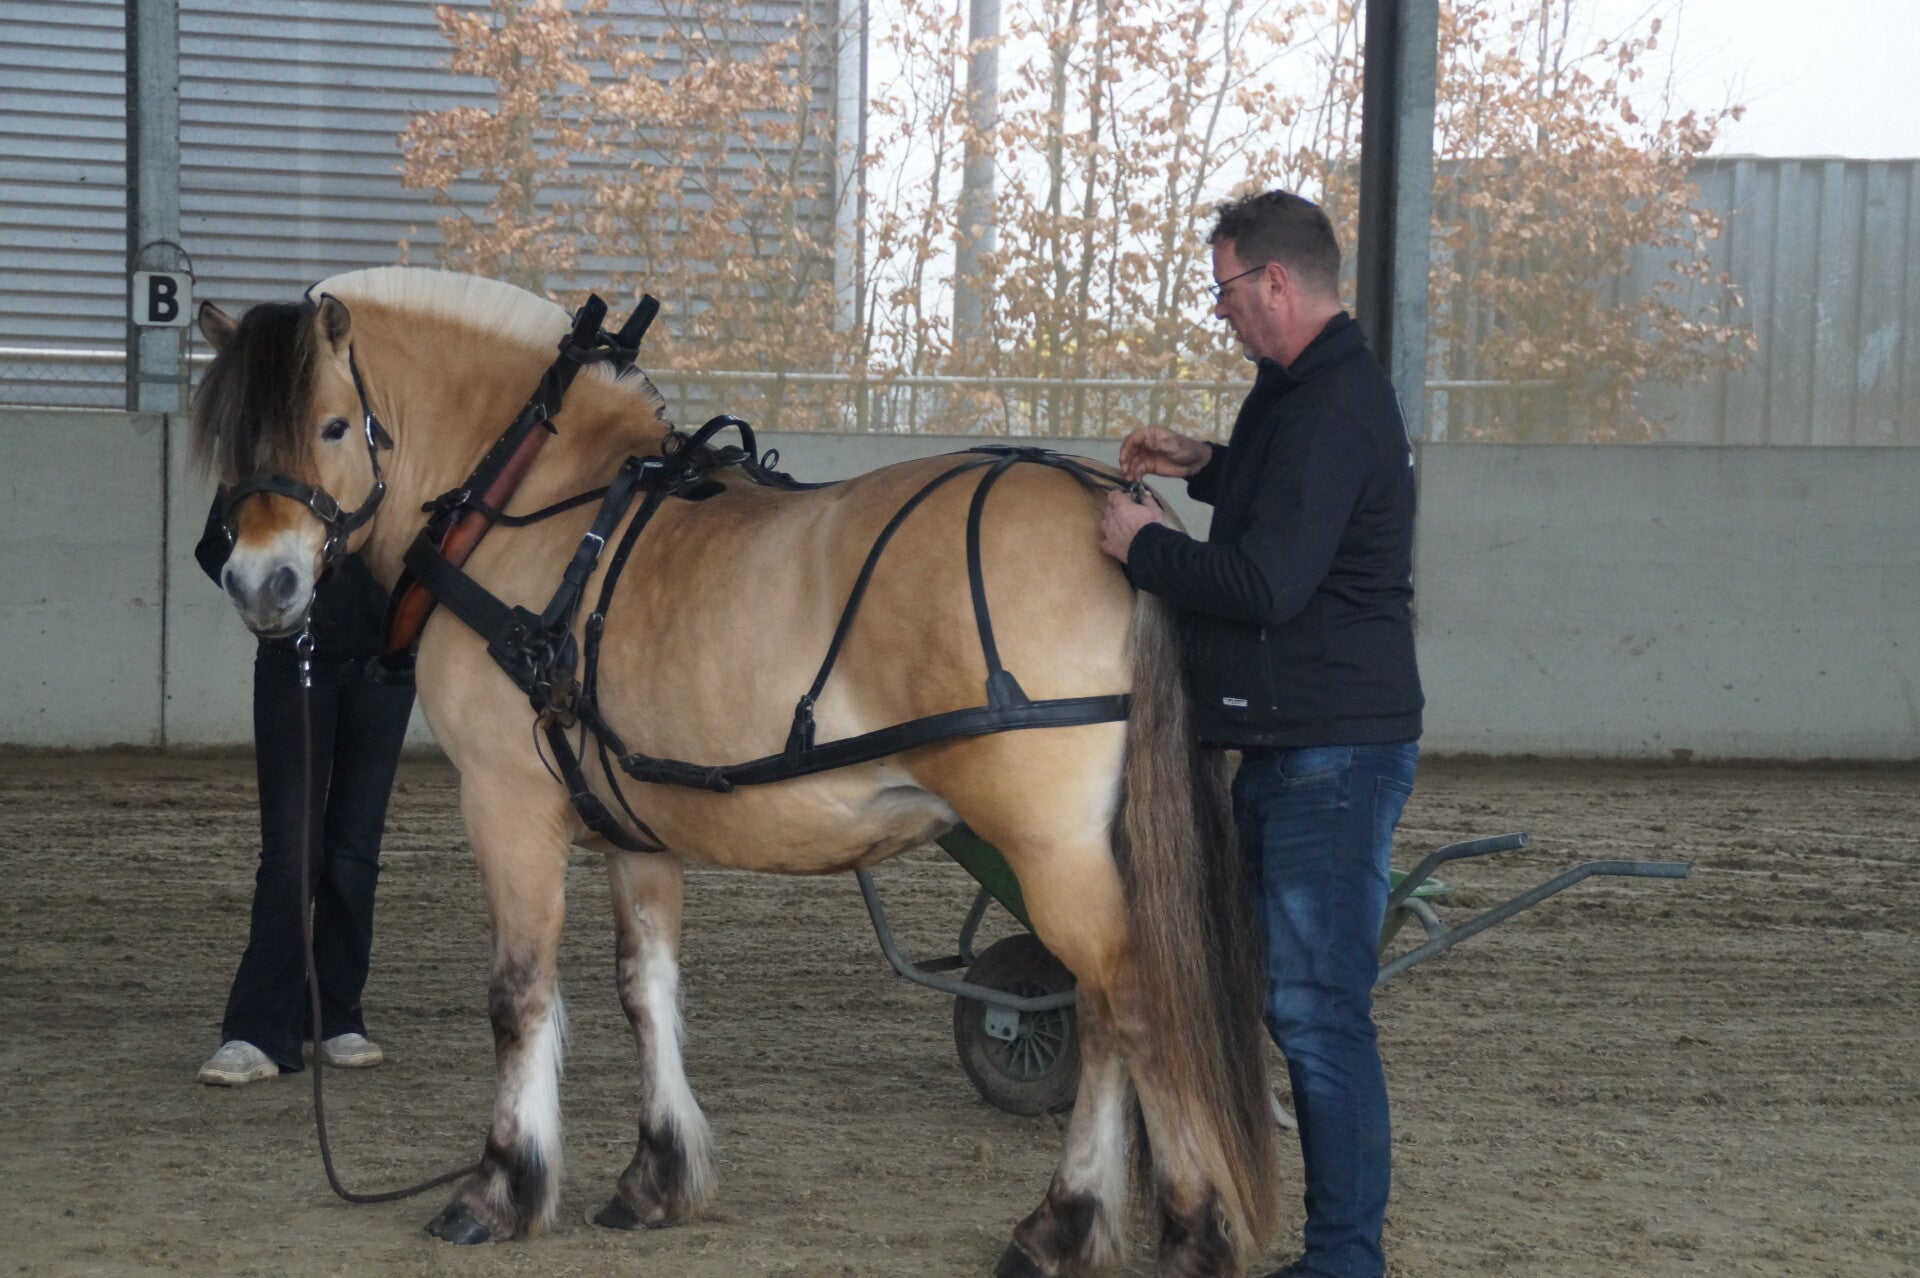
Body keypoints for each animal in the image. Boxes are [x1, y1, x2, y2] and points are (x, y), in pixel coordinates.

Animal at [190, 266, 1278, 1276]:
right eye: (236, 440)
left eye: (333, 426)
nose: (260, 585)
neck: (539, 512)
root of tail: (1114, 507)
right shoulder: (633, 830)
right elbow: (648, 991)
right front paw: (656, 1176)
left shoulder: (506, 804)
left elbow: (519, 995)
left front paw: (500, 1188)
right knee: (1101, 1012)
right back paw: (1077, 1223)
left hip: (1050, 849)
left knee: (1134, 1005)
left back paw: (1151, 1227)